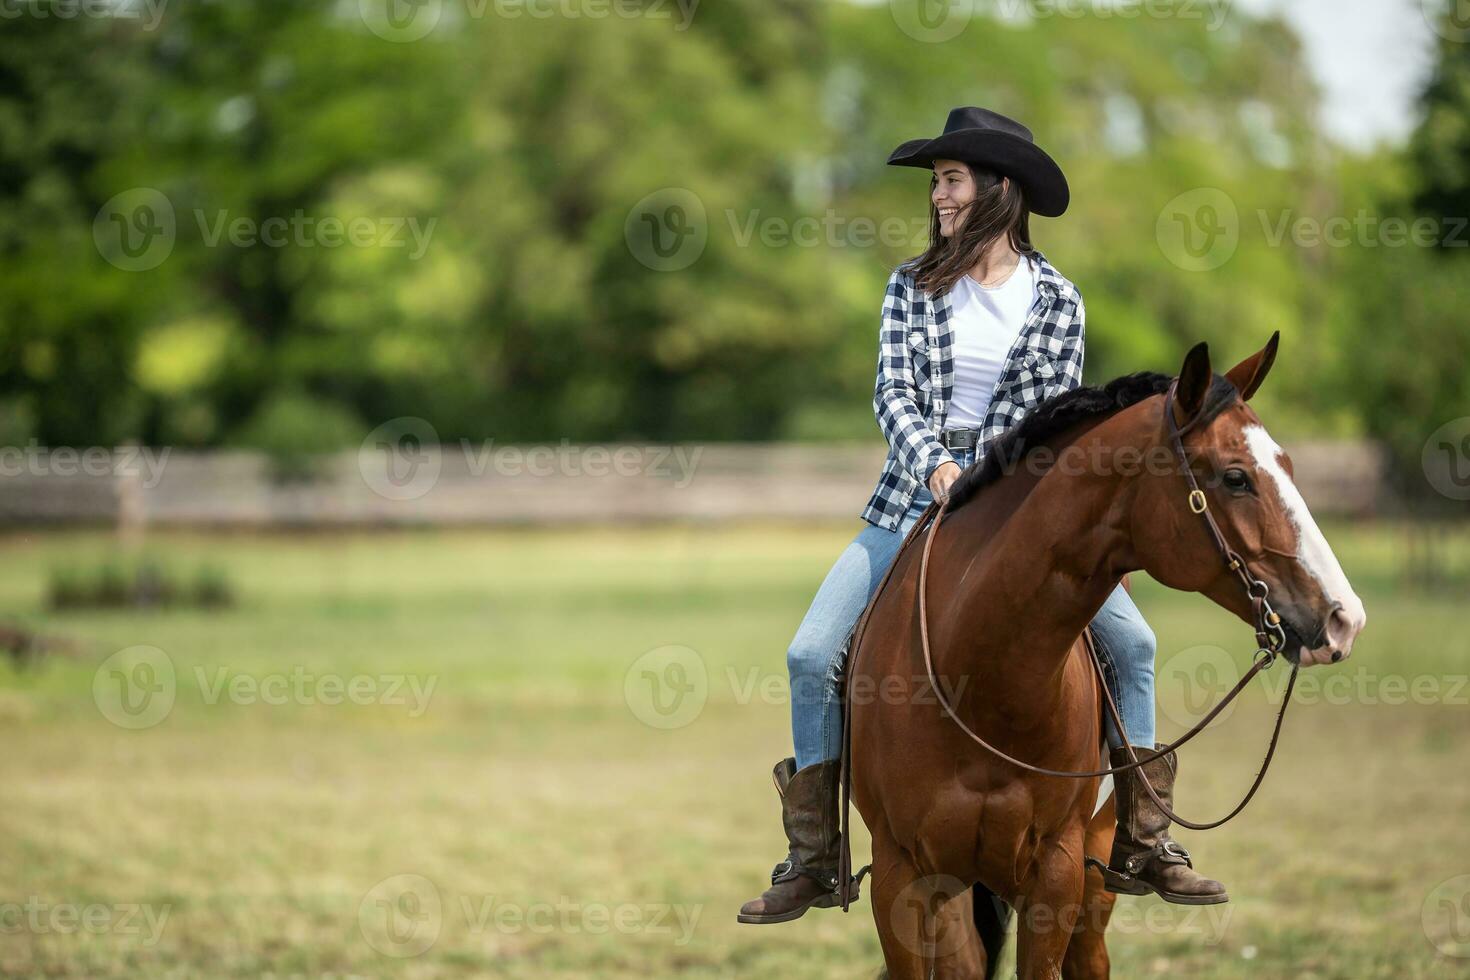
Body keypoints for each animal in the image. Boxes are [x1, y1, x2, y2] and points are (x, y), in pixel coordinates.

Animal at [852, 333, 1364, 975]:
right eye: (1236, 478)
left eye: (1287, 467)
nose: (1344, 617)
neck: (977, 677)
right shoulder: (902, 879)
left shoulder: (1057, 874)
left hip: (1091, 887)